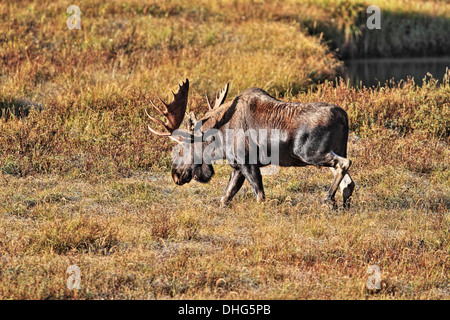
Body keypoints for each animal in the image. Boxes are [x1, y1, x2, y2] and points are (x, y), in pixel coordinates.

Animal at [147, 79, 356, 209]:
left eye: (182, 148)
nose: (176, 175)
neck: (219, 138)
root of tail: (344, 117)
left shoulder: (248, 163)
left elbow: (260, 197)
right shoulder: (237, 167)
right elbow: (225, 198)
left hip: (310, 153)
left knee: (345, 164)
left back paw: (328, 200)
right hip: (333, 150)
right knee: (349, 182)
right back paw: (342, 205)